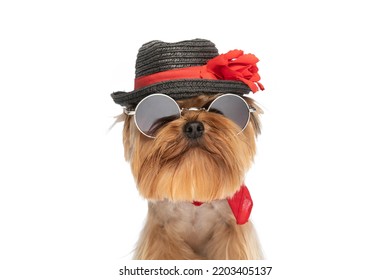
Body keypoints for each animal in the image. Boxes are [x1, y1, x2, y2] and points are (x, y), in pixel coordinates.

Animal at [111, 38, 266, 260]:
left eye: (213, 104)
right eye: (161, 110)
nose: (193, 126)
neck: (194, 203)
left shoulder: (233, 233)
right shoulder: (161, 236)